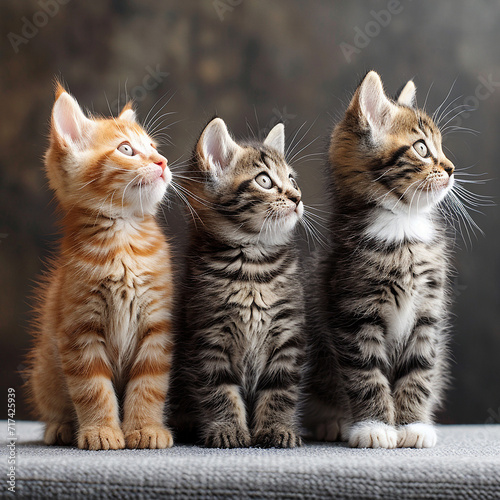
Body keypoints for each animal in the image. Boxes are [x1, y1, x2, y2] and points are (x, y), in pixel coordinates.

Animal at [28, 84, 176, 452]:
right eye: (126, 149)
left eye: (154, 148)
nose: (162, 162)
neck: (123, 243)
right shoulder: (78, 331)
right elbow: (92, 389)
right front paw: (101, 431)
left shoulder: (157, 327)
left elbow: (149, 385)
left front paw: (145, 428)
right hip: (44, 369)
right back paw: (61, 427)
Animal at [169, 118, 304, 450]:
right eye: (264, 180)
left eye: (292, 180)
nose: (297, 198)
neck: (252, 269)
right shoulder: (208, 337)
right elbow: (218, 390)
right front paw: (227, 429)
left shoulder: (287, 334)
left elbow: (280, 389)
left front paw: (277, 428)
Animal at [302, 71, 456, 450]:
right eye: (421, 148)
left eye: (441, 147)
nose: (451, 168)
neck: (403, 232)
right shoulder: (353, 311)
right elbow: (364, 373)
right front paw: (374, 426)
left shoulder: (428, 311)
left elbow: (420, 370)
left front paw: (412, 425)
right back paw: (335, 421)